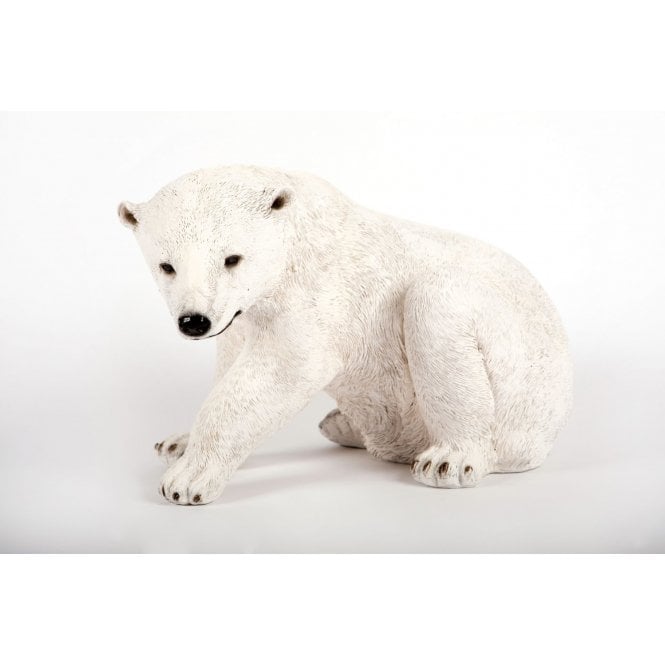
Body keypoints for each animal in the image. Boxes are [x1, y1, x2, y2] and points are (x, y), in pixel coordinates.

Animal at [118, 165, 573, 505]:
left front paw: (187, 480)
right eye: (167, 266)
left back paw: (449, 459)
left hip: (519, 376)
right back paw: (343, 425)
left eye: (232, 258)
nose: (194, 321)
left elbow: (287, 368)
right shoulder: (238, 312)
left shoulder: (319, 292)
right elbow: (229, 357)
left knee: (436, 304)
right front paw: (178, 443)